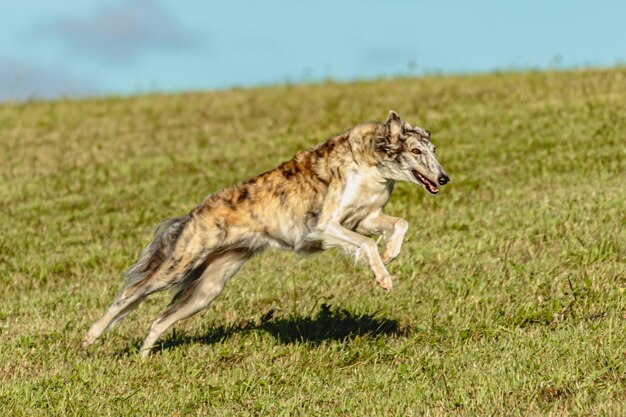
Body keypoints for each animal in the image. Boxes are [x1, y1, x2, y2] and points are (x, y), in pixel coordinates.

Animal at [83, 109, 448, 356]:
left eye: (433, 151)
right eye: (415, 151)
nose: (444, 178)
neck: (369, 161)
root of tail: (195, 211)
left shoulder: (365, 216)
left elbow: (398, 225)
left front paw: (390, 254)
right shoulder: (326, 226)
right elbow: (367, 245)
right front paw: (383, 277)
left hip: (209, 288)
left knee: (158, 320)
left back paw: (144, 358)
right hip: (179, 265)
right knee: (129, 296)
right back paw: (89, 337)